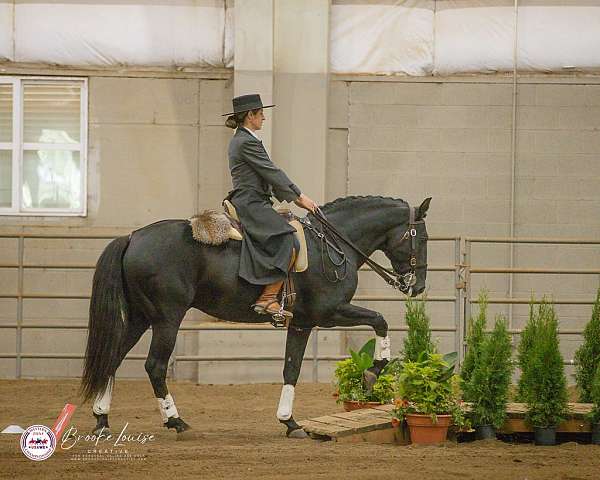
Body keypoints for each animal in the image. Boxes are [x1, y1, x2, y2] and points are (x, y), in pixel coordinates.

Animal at [81, 195, 432, 438]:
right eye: (423, 238)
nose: (417, 286)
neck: (332, 245)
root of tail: (133, 237)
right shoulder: (330, 312)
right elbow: (380, 320)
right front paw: (372, 373)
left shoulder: (302, 323)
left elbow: (291, 370)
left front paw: (290, 422)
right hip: (167, 318)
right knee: (154, 366)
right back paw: (175, 421)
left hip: (141, 318)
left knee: (112, 358)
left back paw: (102, 419)